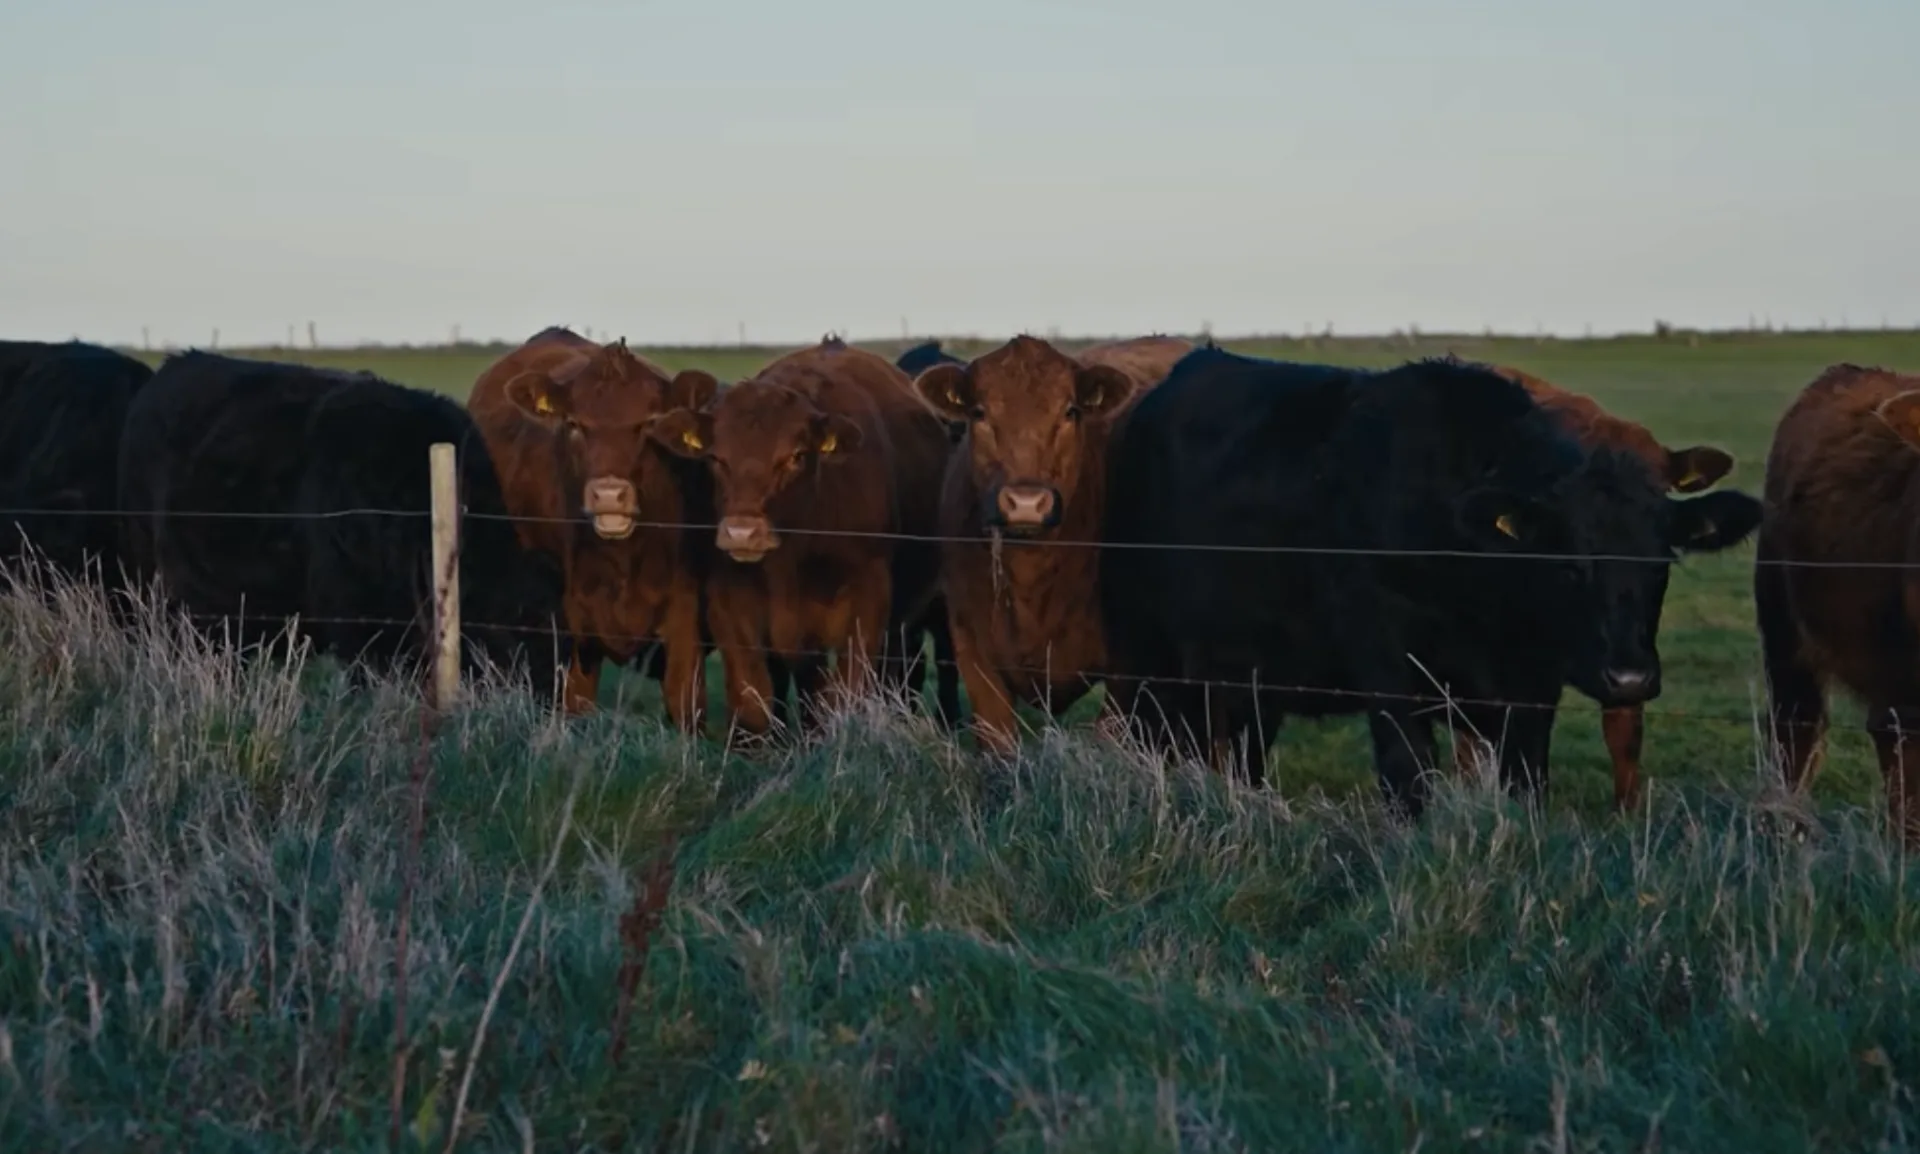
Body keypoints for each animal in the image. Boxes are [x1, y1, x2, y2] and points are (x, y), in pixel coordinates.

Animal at [468, 326, 720, 729]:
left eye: (649, 423)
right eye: (574, 424)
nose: (608, 495)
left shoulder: (684, 623)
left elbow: (686, 708)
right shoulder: (570, 636)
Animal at [650, 336, 956, 736]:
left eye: (795, 456)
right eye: (716, 458)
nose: (742, 533)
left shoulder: (868, 602)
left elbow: (847, 693)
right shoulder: (730, 604)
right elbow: (753, 700)